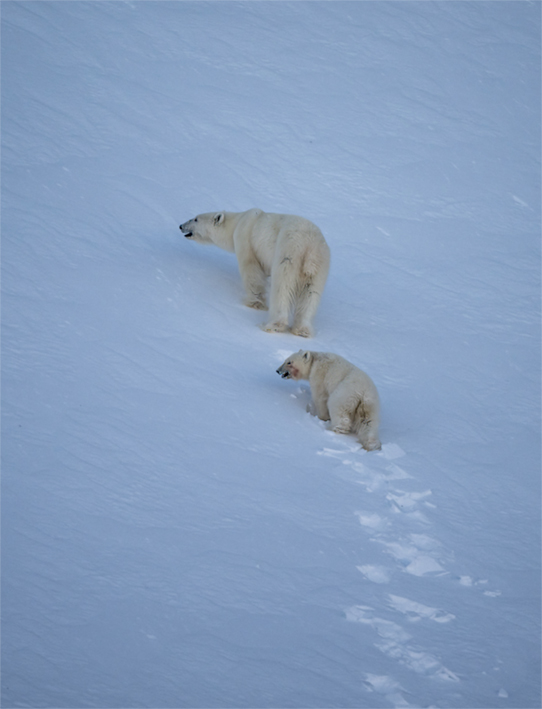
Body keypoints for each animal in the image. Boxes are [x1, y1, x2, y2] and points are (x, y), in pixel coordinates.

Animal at [180, 208, 330, 337]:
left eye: (195, 219)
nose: (181, 226)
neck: (237, 221)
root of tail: (309, 247)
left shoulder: (245, 239)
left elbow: (251, 269)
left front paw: (254, 303)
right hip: (320, 266)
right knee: (311, 294)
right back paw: (302, 330)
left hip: (288, 253)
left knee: (282, 288)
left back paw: (272, 325)